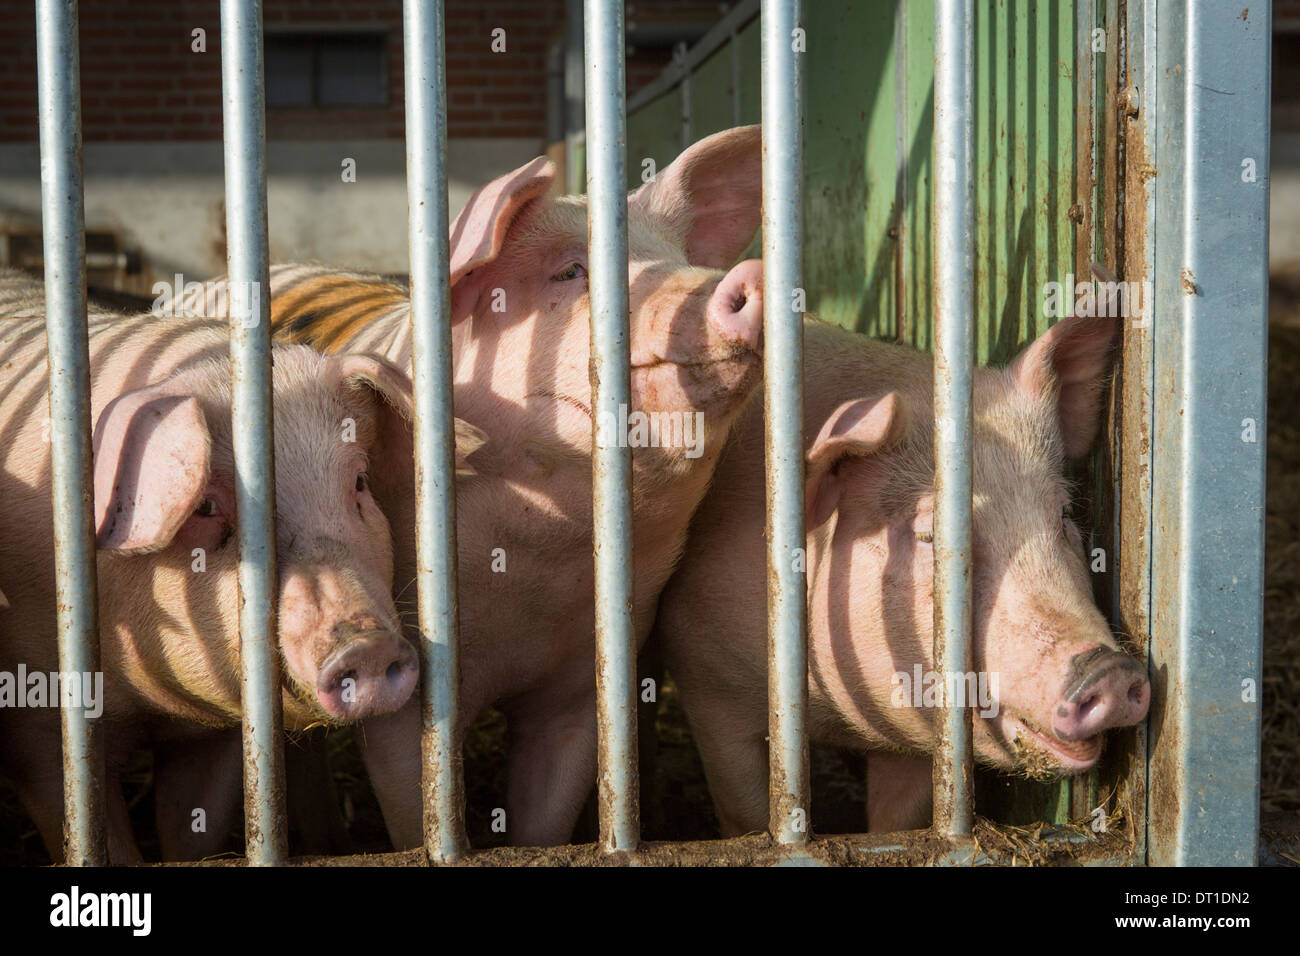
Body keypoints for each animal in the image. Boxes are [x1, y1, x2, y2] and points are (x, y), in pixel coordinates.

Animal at [0, 270, 483, 868]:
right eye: (205, 506)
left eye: (359, 482)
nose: (367, 647)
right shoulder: (40, 727)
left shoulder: (220, 738)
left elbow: (192, 830)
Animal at [655, 316, 1154, 837]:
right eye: (931, 535)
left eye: (1063, 513)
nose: (1109, 669)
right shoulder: (705, 676)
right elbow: (747, 815)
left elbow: (903, 823)